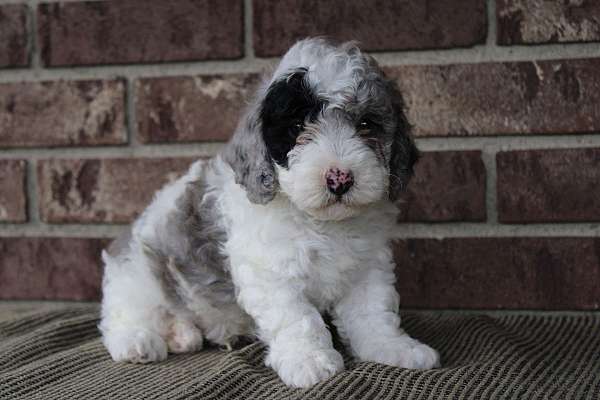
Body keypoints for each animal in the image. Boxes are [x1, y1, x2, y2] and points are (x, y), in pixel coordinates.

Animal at [99, 37, 440, 388]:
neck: (321, 222)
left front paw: (393, 348)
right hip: (139, 274)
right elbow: (298, 318)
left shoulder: (368, 267)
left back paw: (182, 336)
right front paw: (309, 360)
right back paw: (138, 341)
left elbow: (374, 311)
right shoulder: (271, 271)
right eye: (297, 127)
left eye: (365, 124)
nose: (340, 179)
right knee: (126, 313)